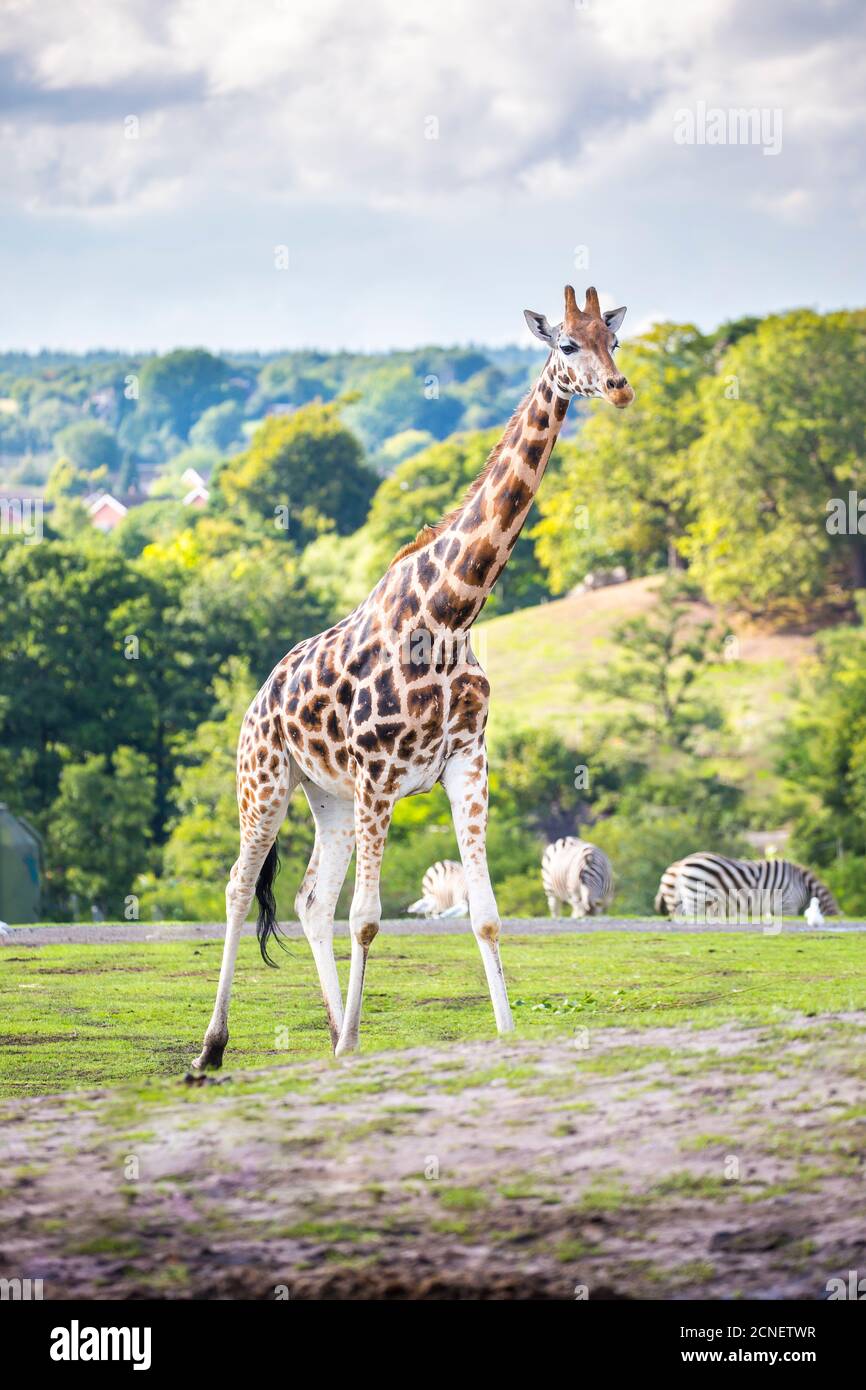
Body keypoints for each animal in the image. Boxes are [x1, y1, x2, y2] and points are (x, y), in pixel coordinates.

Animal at [193, 285, 633, 1069]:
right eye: (567, 345)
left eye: (613, 340)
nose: (618, 388)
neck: (453, 612)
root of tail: (257, 700)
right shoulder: (379, 775)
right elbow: (368, 919)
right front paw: (354, 1042)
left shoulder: (466, 764)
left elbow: (484, 915)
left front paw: (505, 1031)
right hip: (267, 782)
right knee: (241, 888)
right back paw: (213, 1048)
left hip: (328, 797)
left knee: (308, 900)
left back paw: (333, 1035)